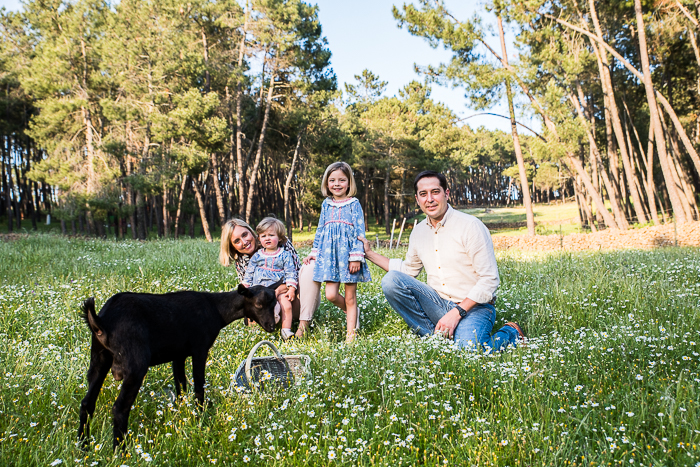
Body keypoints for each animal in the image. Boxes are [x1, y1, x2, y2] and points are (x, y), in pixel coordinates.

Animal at [77, 280, 281, 449]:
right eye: (258, 305)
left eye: (274, 304)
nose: (271, 327)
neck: (216, 309)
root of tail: (101, 322)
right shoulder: (200, 349)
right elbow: (198, 385)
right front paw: (201, 416)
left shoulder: (178, 355)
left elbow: (181, 385)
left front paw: (182, 412)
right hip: (135, 366)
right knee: (119, 409)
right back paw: (120, 451)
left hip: (99, 359)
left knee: (87, 402)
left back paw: (83, 445)